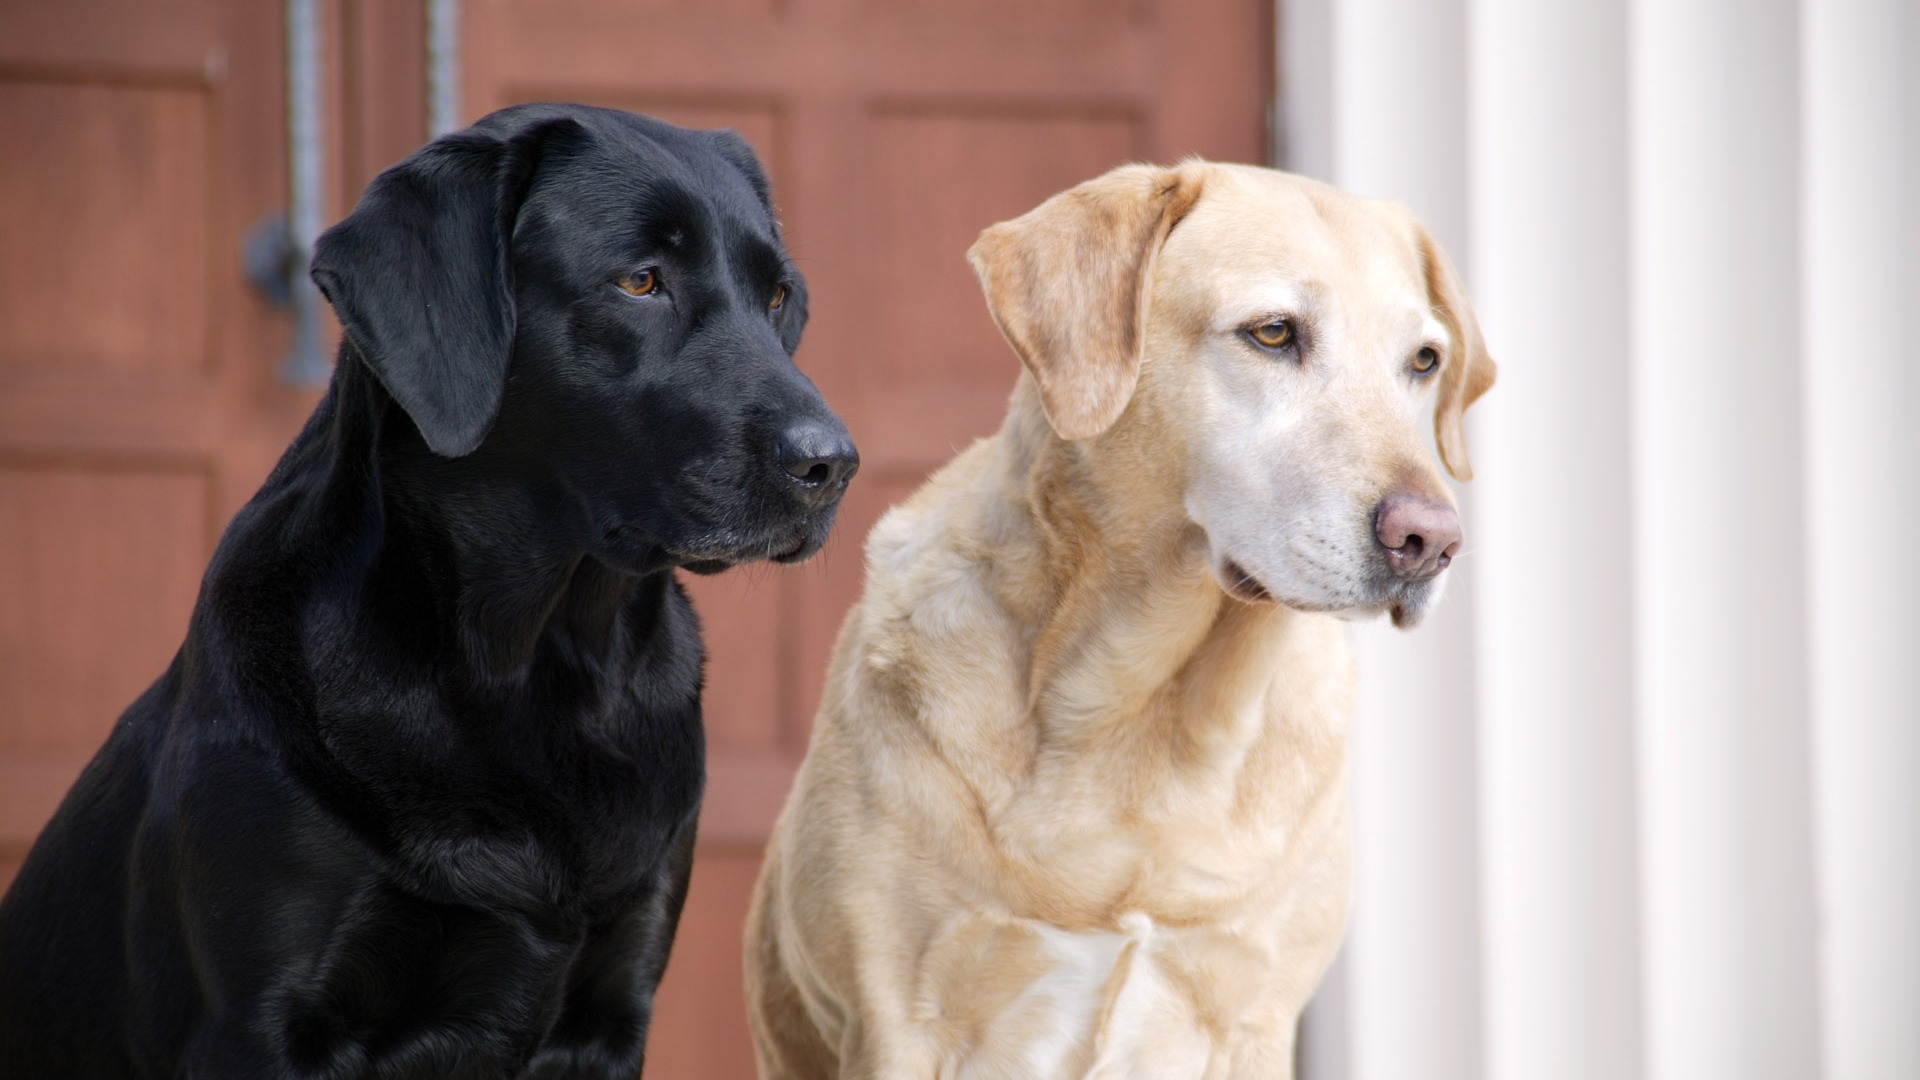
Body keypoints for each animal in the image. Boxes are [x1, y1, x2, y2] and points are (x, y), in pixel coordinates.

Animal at [0, 102, 856, 1076]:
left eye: (778, 296)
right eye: (641, 281)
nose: (833, 465)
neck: (537, 666)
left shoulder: (613, 1003)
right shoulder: (261, 1025)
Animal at [741, 161, 1489, 1076]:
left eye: (1424, 361)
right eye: (1273, 333)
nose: (1433, 541)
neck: (1143, 713)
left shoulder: (1255, 1016)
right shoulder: (897, 1021)